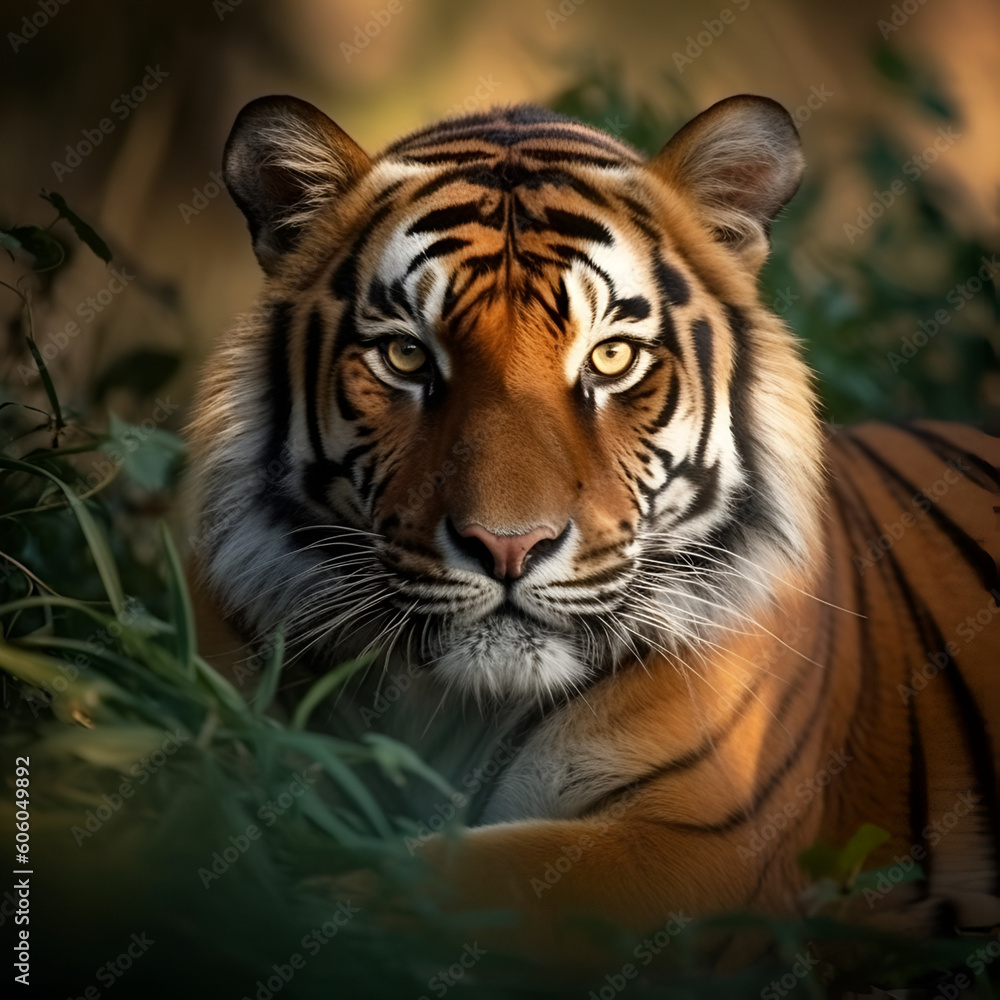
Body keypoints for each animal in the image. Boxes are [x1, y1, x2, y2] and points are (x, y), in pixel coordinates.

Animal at [186, 92, 1000, 958]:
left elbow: (438, 886)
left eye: (611, 359)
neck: (456, 705)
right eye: (406, 357)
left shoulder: (698, 843)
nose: (507, 546)